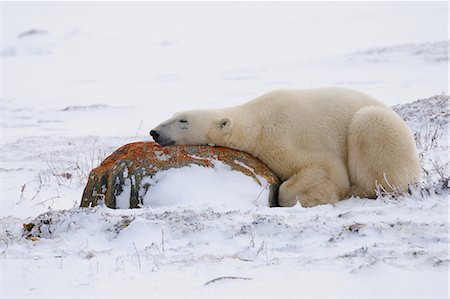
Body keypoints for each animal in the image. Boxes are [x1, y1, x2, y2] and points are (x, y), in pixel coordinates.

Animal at [149, 88, 420, 207]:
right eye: (173, 115)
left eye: (183, 120)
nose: (155, 132)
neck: (258, 122)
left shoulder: (292, 135)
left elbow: (327, 171)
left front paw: (310, 199)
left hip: (382, 129)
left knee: (371, 126)